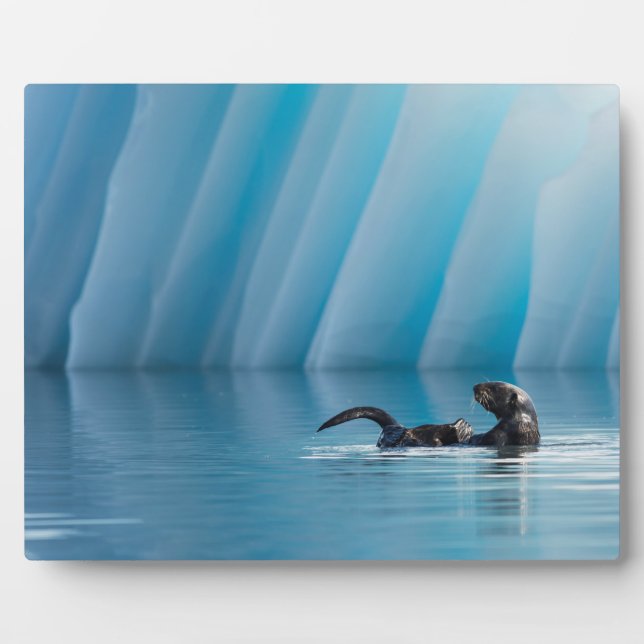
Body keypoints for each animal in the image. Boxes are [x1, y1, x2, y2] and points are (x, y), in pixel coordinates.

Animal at [316, 381, 539, 448]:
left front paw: (464, 428)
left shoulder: (499, 435)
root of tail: (395, 426)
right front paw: (464, 427)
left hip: (399, 436)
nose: (475, 386)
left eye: (492, 387)